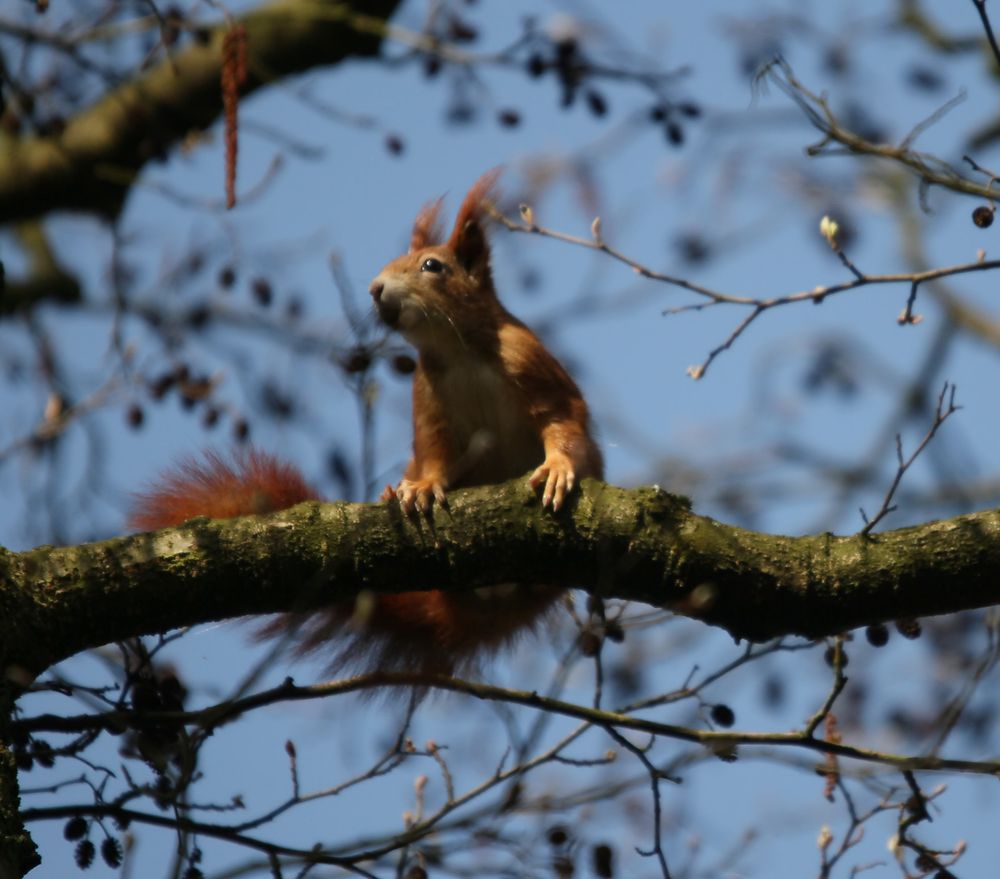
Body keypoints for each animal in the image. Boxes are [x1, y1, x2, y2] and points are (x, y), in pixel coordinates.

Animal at [131, 174, 600, 680]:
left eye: (432, 266)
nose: (376, 288)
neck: (458, 351)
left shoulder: (529, 361)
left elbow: (562, 418)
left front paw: (557, 468)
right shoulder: (428, 401)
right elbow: (435, 453)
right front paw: (422, 488)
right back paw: (393, 493)